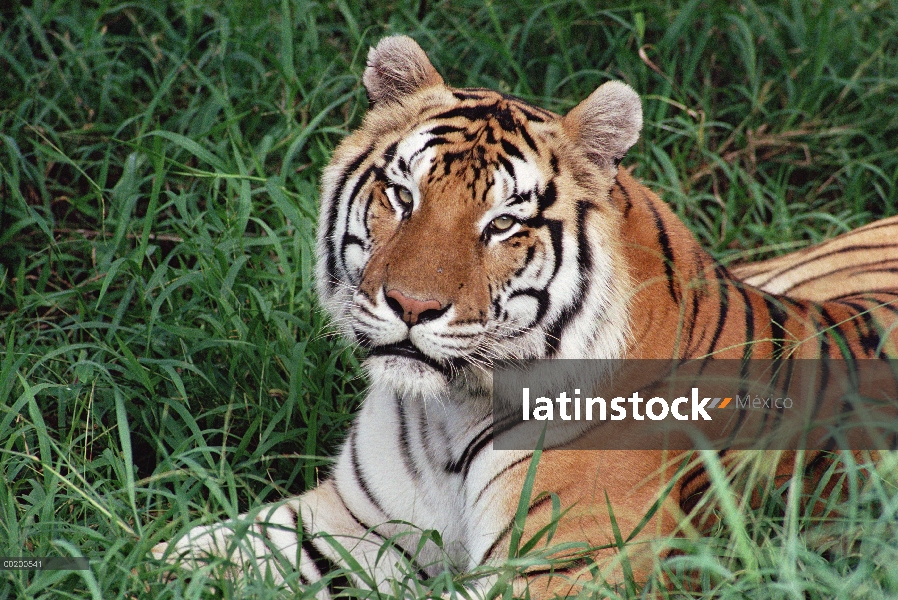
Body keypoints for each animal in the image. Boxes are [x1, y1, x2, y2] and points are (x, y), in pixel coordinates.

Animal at [152, 35, 896, 596]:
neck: (446, 414)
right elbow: (183, 551)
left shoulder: (556, 568)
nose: (411, 306)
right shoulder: (348, 526)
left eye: (503, 224)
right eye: (402, 195)